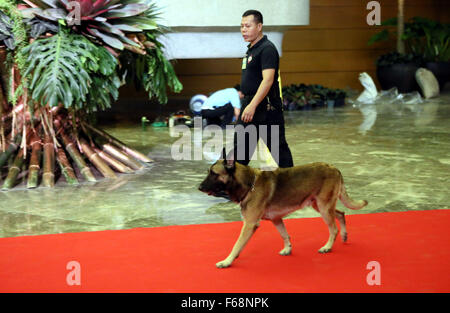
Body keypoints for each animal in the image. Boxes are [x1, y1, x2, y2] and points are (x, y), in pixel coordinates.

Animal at [199, 150, 368, 266]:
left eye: (214, 174)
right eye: (208, 172)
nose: (199, 188)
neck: (249, 183)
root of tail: (334, 168)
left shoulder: (249, 225)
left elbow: (237, 244)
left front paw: (227, 261)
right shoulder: (276, 219)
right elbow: (285, 235)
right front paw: (288, 249)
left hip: (324, 208)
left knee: (333, 228)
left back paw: (327, 247)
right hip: (320, 206)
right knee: (340, 214)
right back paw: (344, 236)